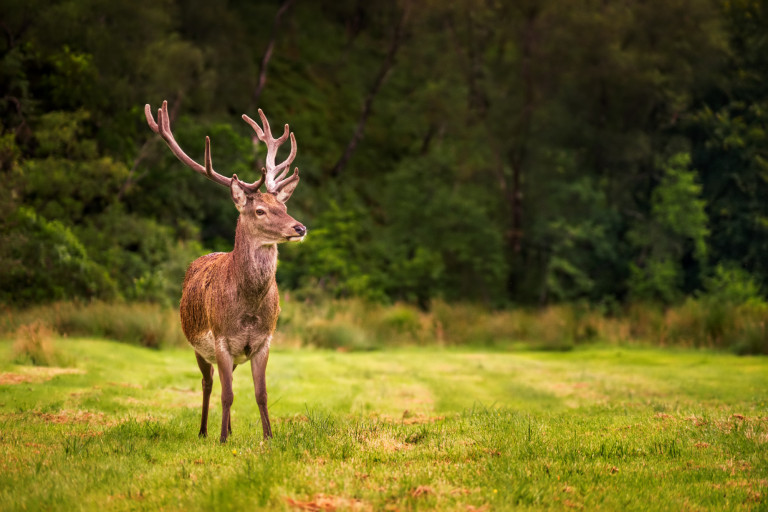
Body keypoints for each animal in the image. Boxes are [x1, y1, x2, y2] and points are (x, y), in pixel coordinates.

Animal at [145, 101, 306, 444]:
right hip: (196, 344)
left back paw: (229, 429)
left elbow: (261, 394)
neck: (248, 308)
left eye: (284, 207)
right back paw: (205, 431)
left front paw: (268, 437)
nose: (299, 228)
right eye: (260, 210)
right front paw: (220, 440)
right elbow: (227, 395)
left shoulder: (263, 341)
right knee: (209, 384)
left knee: (224, 380)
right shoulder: (219, 338)